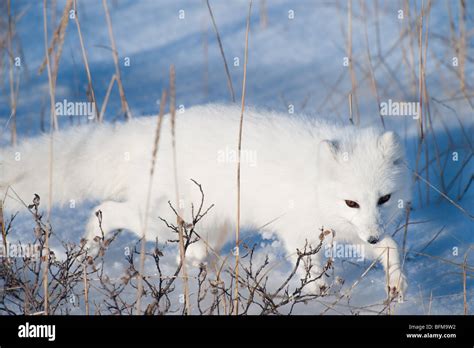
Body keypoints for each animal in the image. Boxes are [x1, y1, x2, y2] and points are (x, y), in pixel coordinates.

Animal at [0, 104, 410, 296]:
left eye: (384, 198)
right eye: (351, 202)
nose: (371, 235)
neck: (313, 181)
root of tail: (140, 134)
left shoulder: (351, 232)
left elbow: (391, 248)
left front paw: (396, 285)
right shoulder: (301, 233)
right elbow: (310, 270)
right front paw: (318, 293)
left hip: (212, 225)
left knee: (194, 251)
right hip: (167, 220)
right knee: (104, 209)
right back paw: (89, 248)